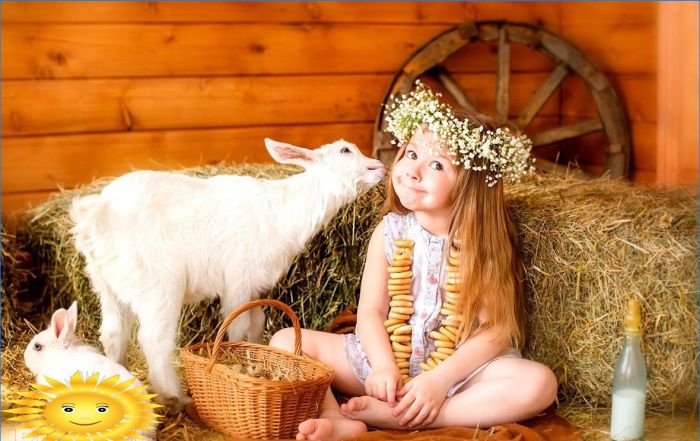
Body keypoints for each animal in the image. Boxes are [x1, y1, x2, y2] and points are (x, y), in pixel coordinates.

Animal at [69, 138, 386, 410]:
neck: (281, 213)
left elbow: (257, 322)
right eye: (345, 151)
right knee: (154, 340)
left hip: (106, 283)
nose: (380, 168)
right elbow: (237, 326)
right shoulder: (238, 280)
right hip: (157, 283)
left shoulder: (255, 286)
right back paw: (174, 396)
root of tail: (97, 214)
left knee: (114, 334)